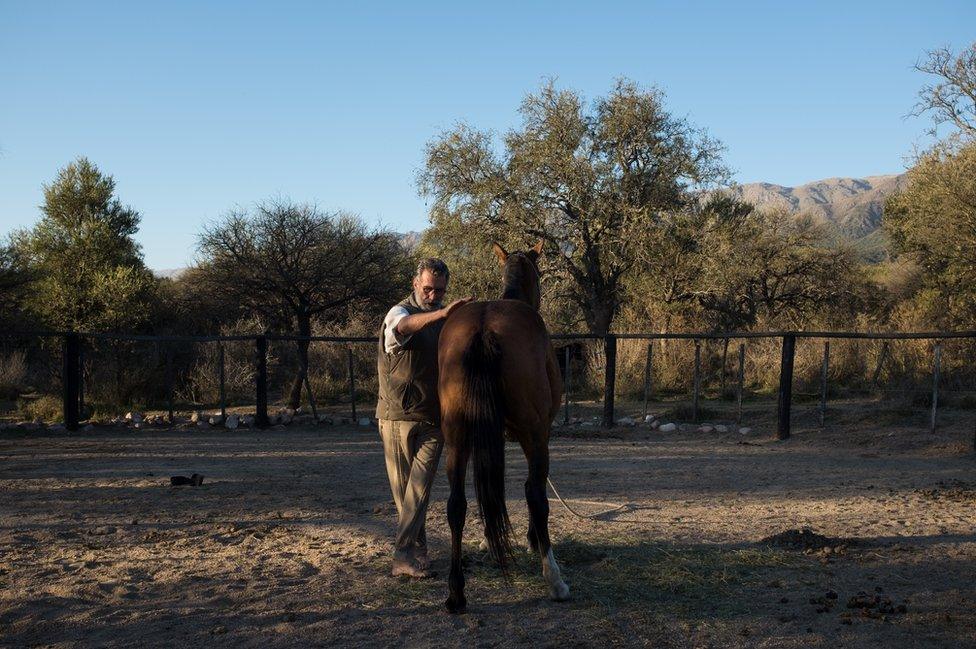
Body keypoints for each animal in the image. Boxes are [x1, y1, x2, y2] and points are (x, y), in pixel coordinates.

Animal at [436, 239, 568, 612]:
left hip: (457, 438)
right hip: (533, 435)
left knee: (457, 504)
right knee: (537, 494)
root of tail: (484, 329)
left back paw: (456, 593)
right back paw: (554, 579)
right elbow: (529, 490)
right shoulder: (537, 434)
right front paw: (533, 541)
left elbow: (492, 492)